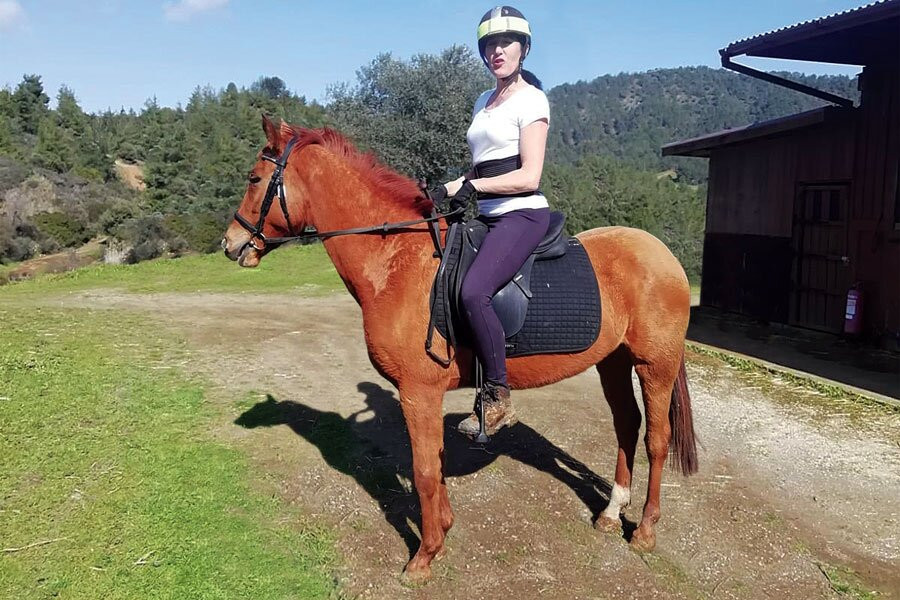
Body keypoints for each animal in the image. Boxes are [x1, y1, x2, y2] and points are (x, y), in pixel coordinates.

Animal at [221, 115, 698, 584]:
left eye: (254, 178)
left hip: (655, 365)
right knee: (627, 425)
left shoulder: (418, 392)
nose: (231, 244)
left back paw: (645, 531)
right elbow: (435, 463)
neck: (398, 260)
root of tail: (663, 254)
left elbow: (424, 471)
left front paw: (424, 557)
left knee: (656, 440)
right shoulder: (424, 395)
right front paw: (443, 532)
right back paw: (612, 512)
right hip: (613, 362)